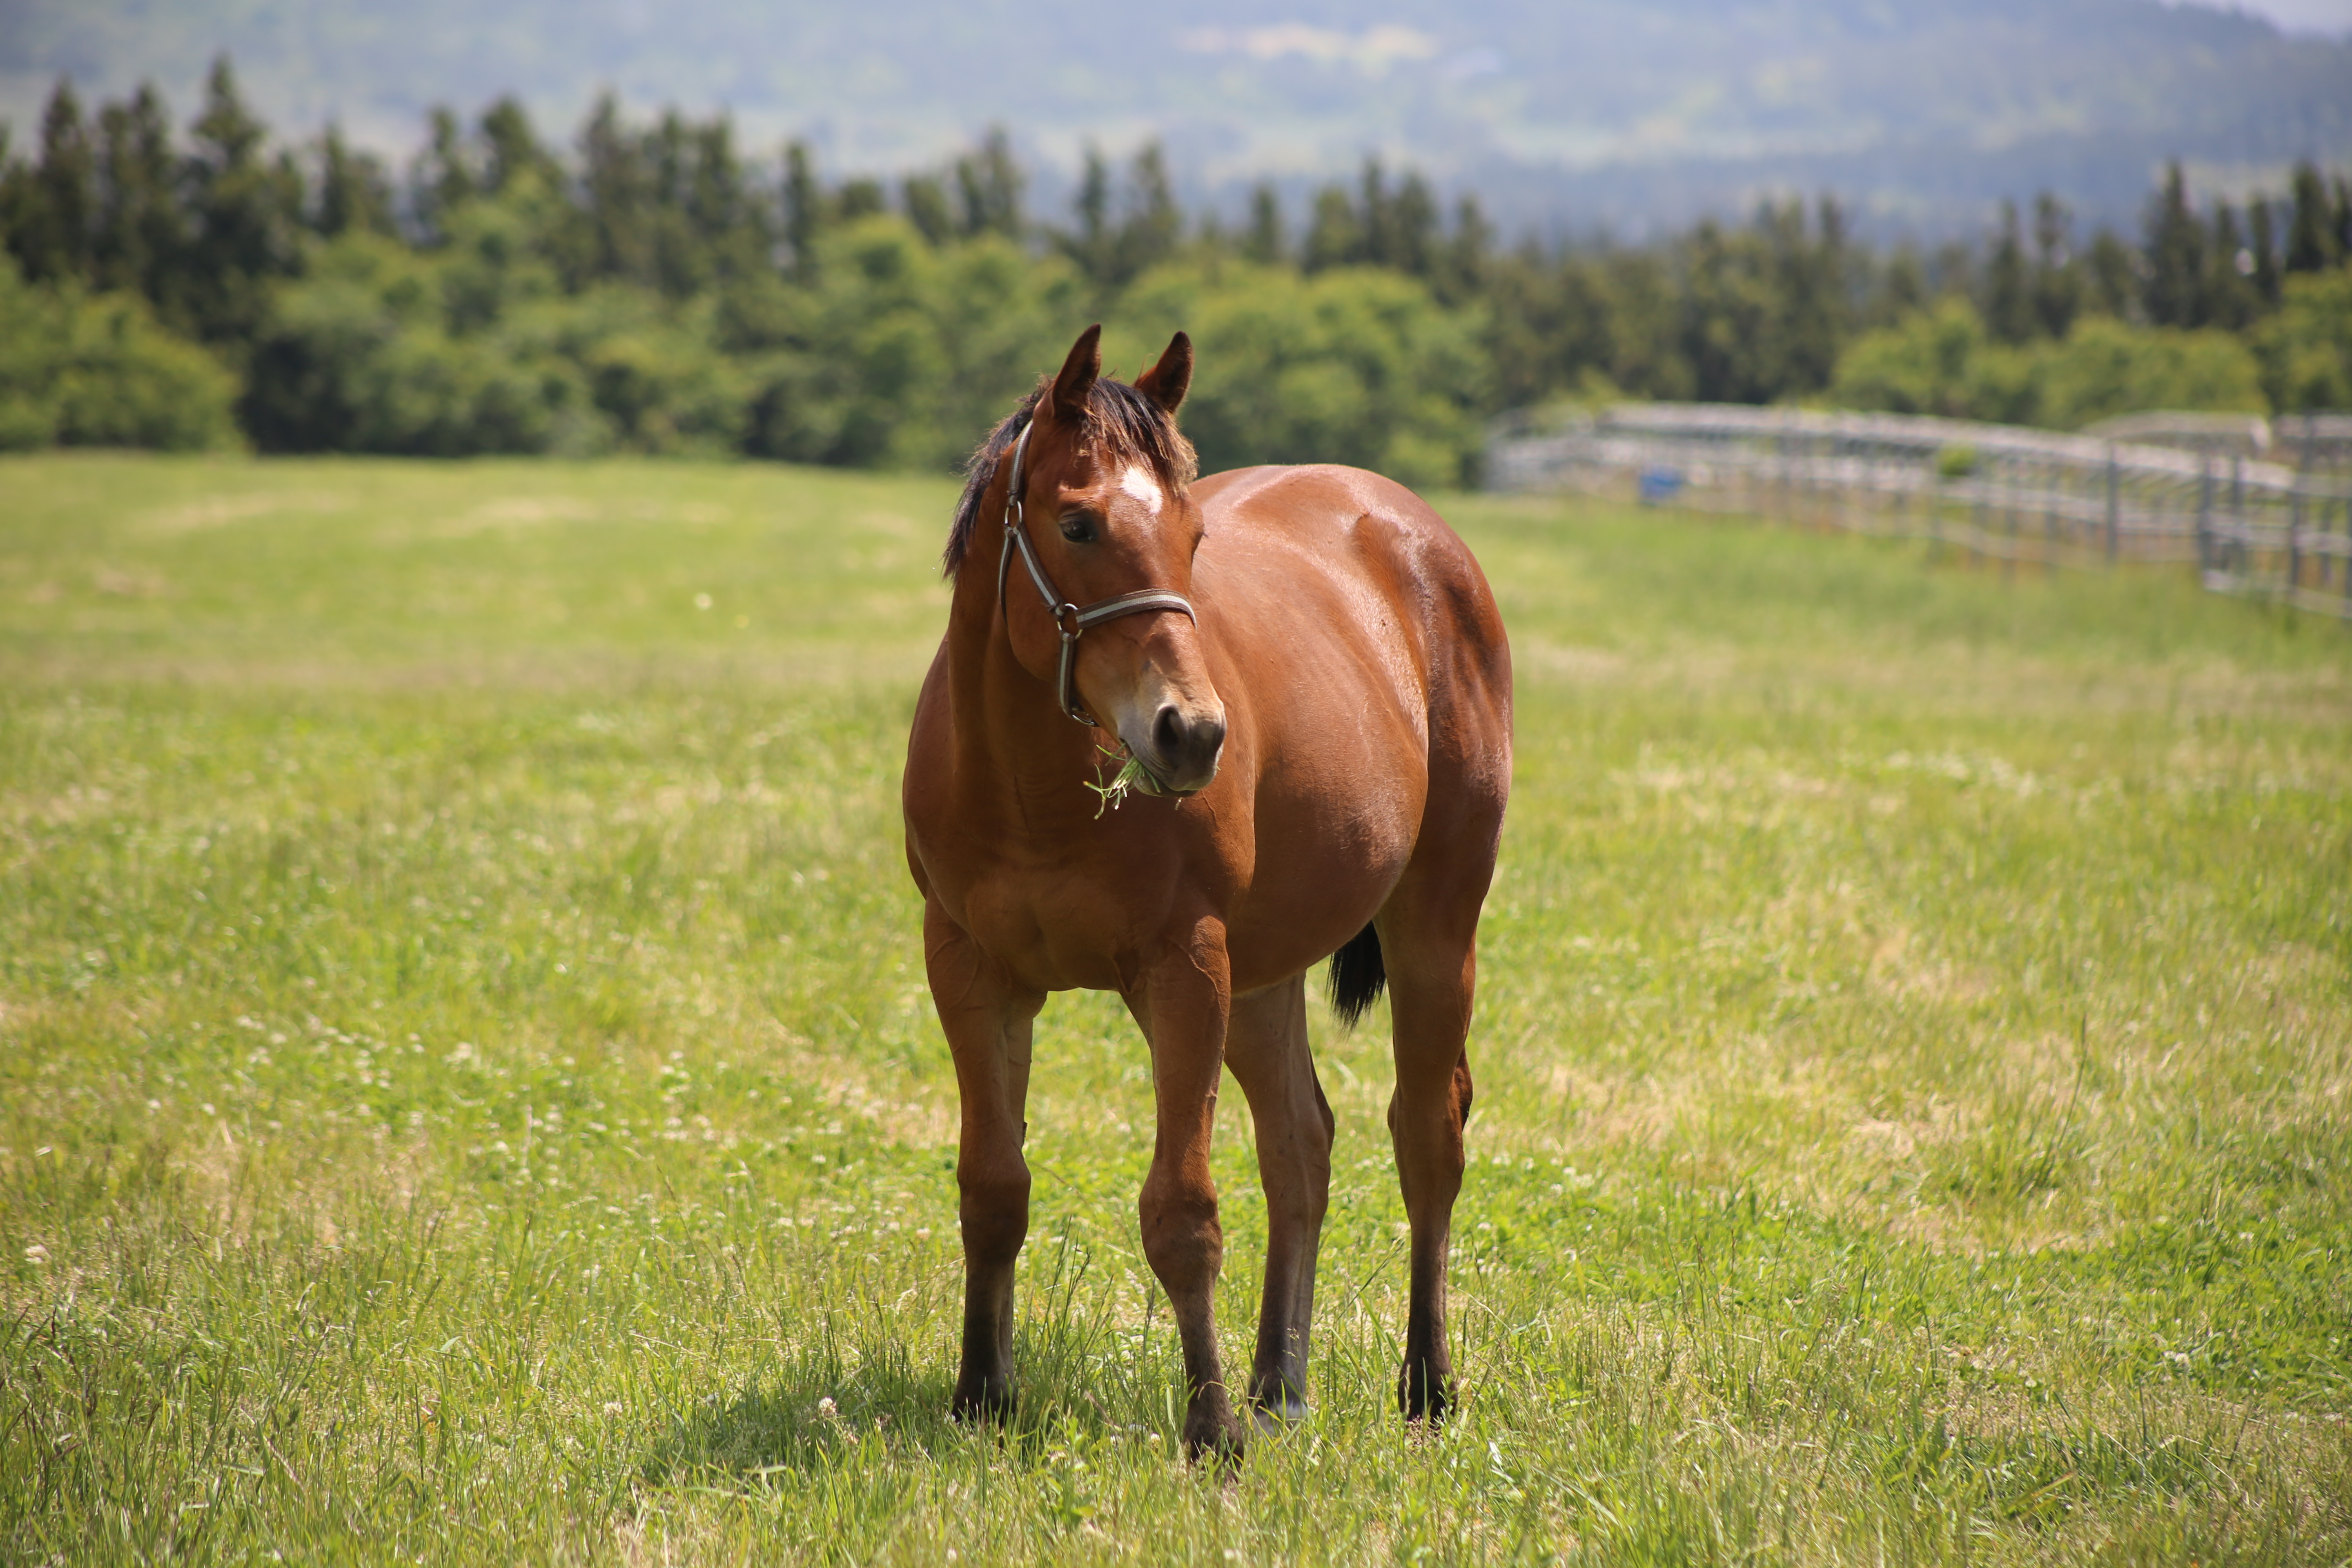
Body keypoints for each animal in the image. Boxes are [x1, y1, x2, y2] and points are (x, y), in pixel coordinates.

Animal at [898, 322, 1524, 1457]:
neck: (1034, 793)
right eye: (1077, 522)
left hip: (1434, 923)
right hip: (1266, 970)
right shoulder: (970, 971)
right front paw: (980, 1395)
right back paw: (1281, 1385)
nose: (1190, 733)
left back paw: (1423, 1383)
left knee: (1426, 1134)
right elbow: (993, 1190)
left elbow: (1181, 1213)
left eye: (1191, 536)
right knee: (1300, 1144)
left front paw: (1209, 1425)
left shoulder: (1183, 969)